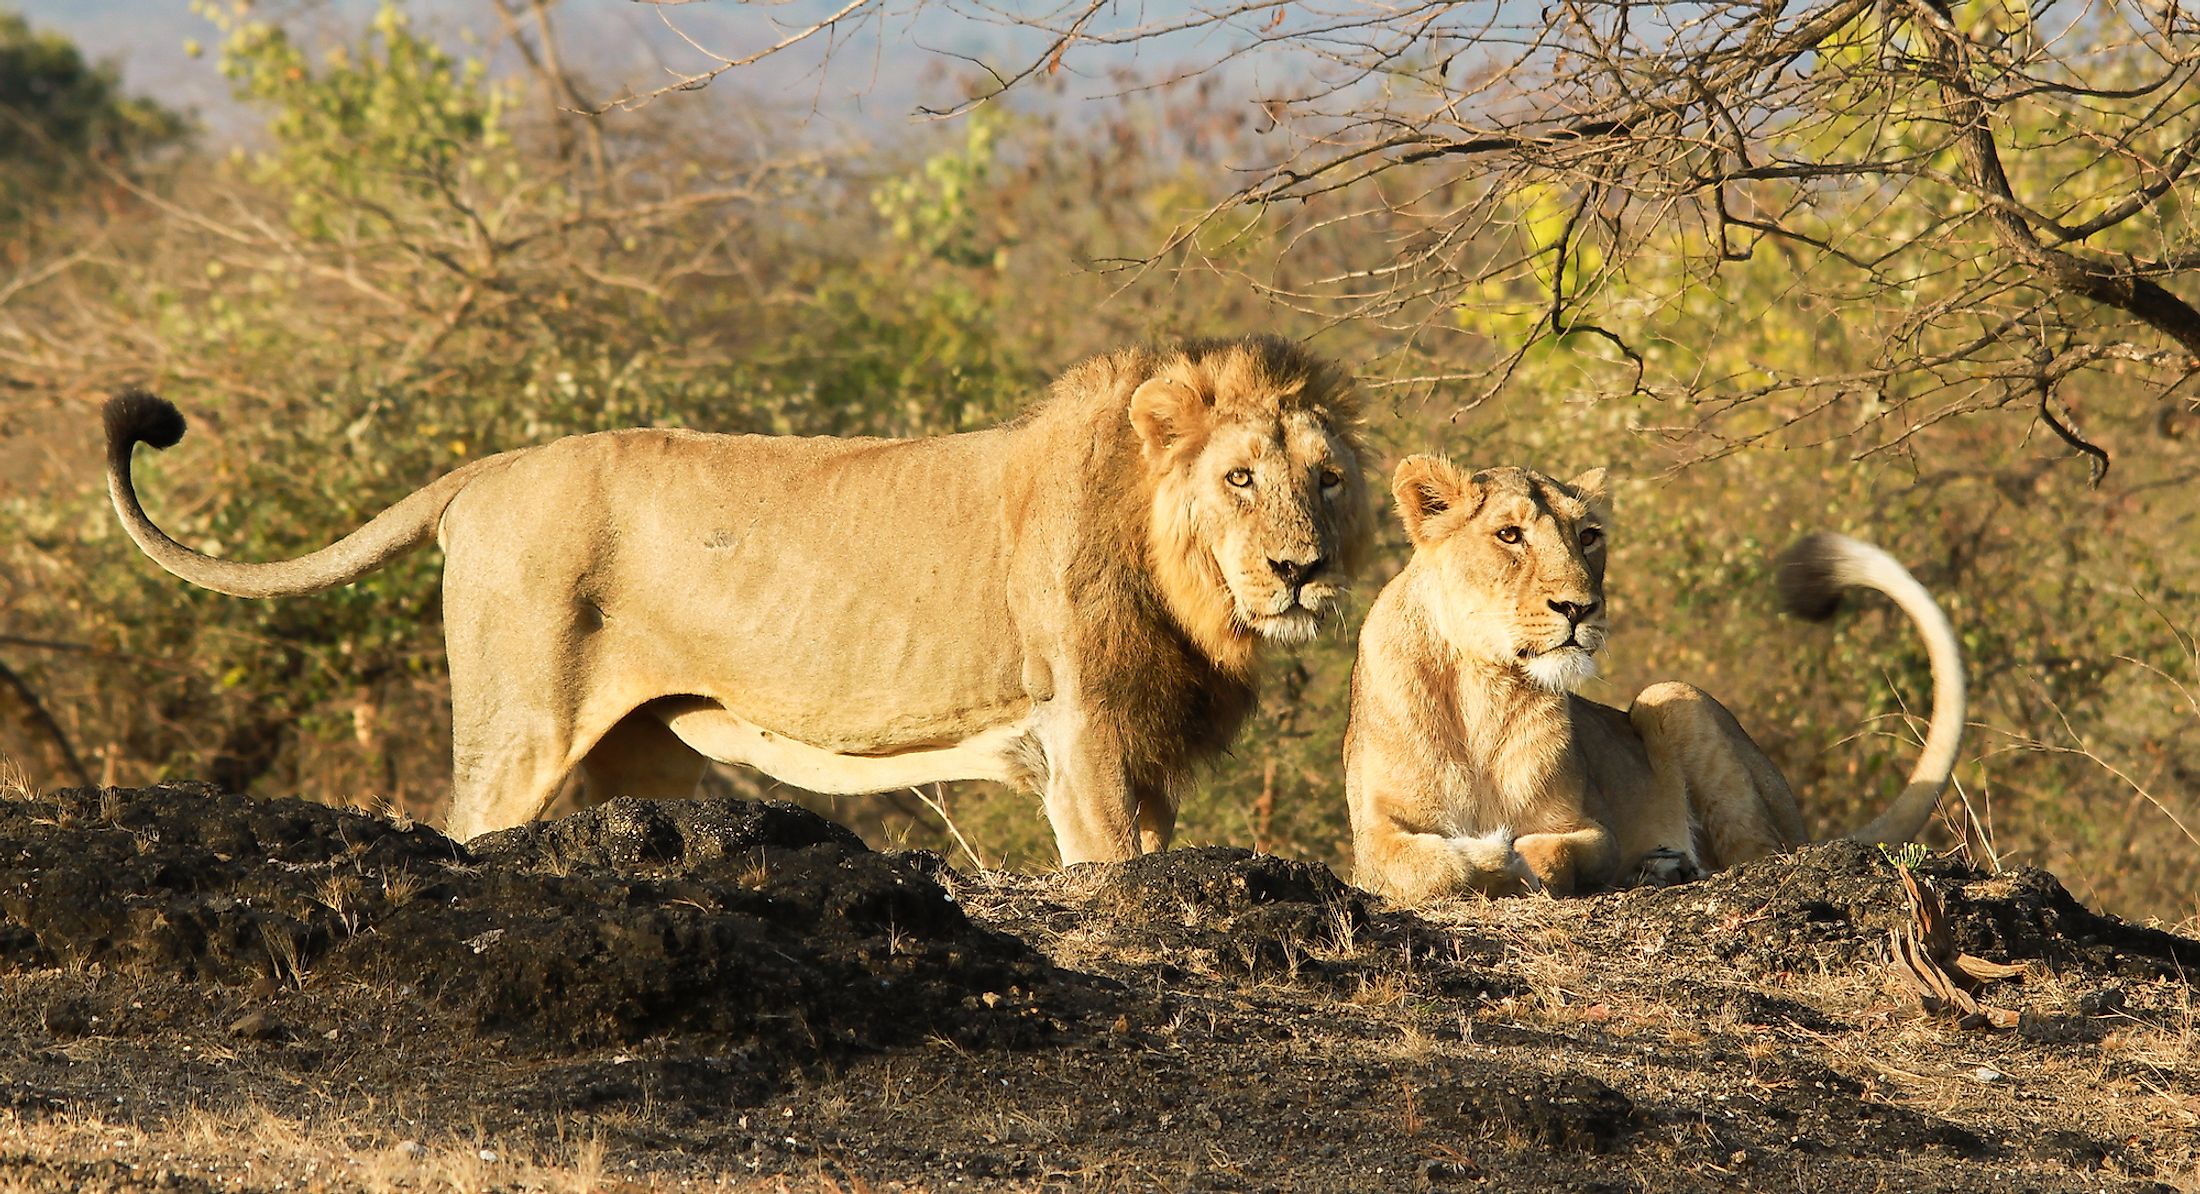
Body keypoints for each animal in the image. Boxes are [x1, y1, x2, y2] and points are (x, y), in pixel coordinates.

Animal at [111, 340, 1372, 866]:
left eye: (1326, 478)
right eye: (1239, 478)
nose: (1301, 570)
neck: (1187, 587)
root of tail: (487, 470)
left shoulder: (1146, 753)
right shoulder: (1082, 741)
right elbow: (1107, 872)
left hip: (634, 750)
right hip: (519, 728)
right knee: (471, 829)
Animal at [1346, 459, 1971, 905]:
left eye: (1588, 536)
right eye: (1509, 535)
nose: (1580, 608)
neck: (1483, 686)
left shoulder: (1588, 827)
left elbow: (1558, 853)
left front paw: (1513, 859)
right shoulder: (1372, 836)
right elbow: (1423, 865)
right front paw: (1486, 858)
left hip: (1669, 697)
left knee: (1758, 857)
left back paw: (1669, 869)